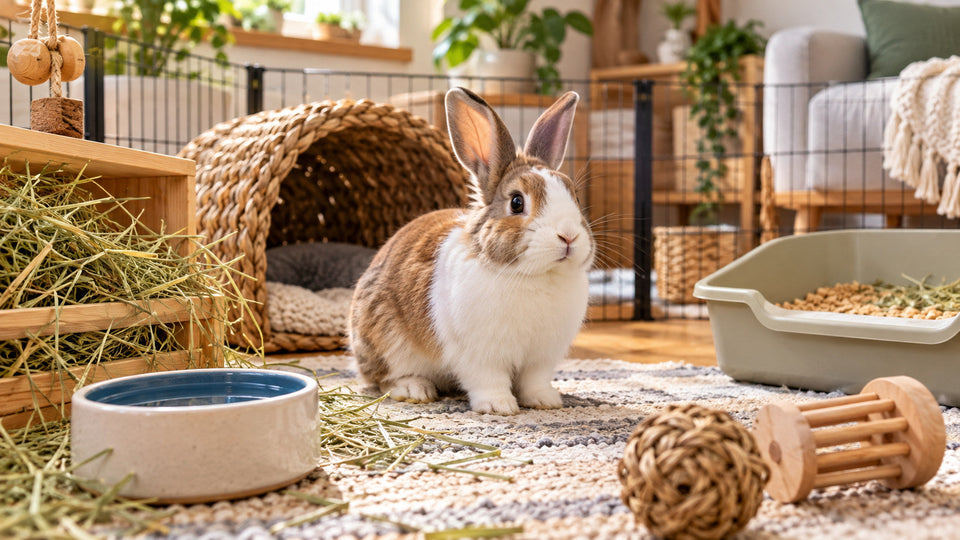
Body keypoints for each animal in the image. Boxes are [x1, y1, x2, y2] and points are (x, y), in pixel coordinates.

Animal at [349, 87, 593, 415]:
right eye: (517, 202)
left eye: (575, 196)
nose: (568, 236)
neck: (536, 275)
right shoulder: (479, 354)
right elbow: (488, 379)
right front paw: (499, 406)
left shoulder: (541, 358)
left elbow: (535, 380)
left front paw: (546, 401)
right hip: (386, 341)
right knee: (384, 379)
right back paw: (415, 389)